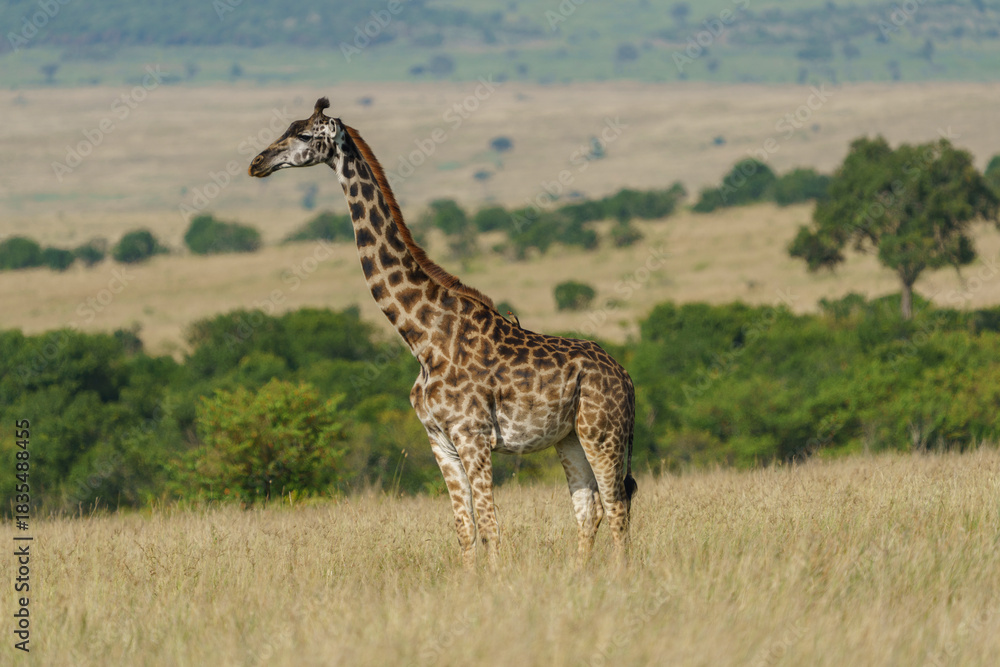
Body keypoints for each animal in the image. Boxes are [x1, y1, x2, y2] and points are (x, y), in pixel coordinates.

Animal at [249, 98, 637, 569]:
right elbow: (465, 530)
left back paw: (619, 575)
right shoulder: (439, 440)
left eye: (304, 135)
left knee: (617, 505)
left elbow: (490, 527)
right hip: (570, 438)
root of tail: (626, 377)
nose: (257, 163)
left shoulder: (473, 437)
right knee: (589, 507)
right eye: (286, 128)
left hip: (603, 430)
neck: (422, 339)